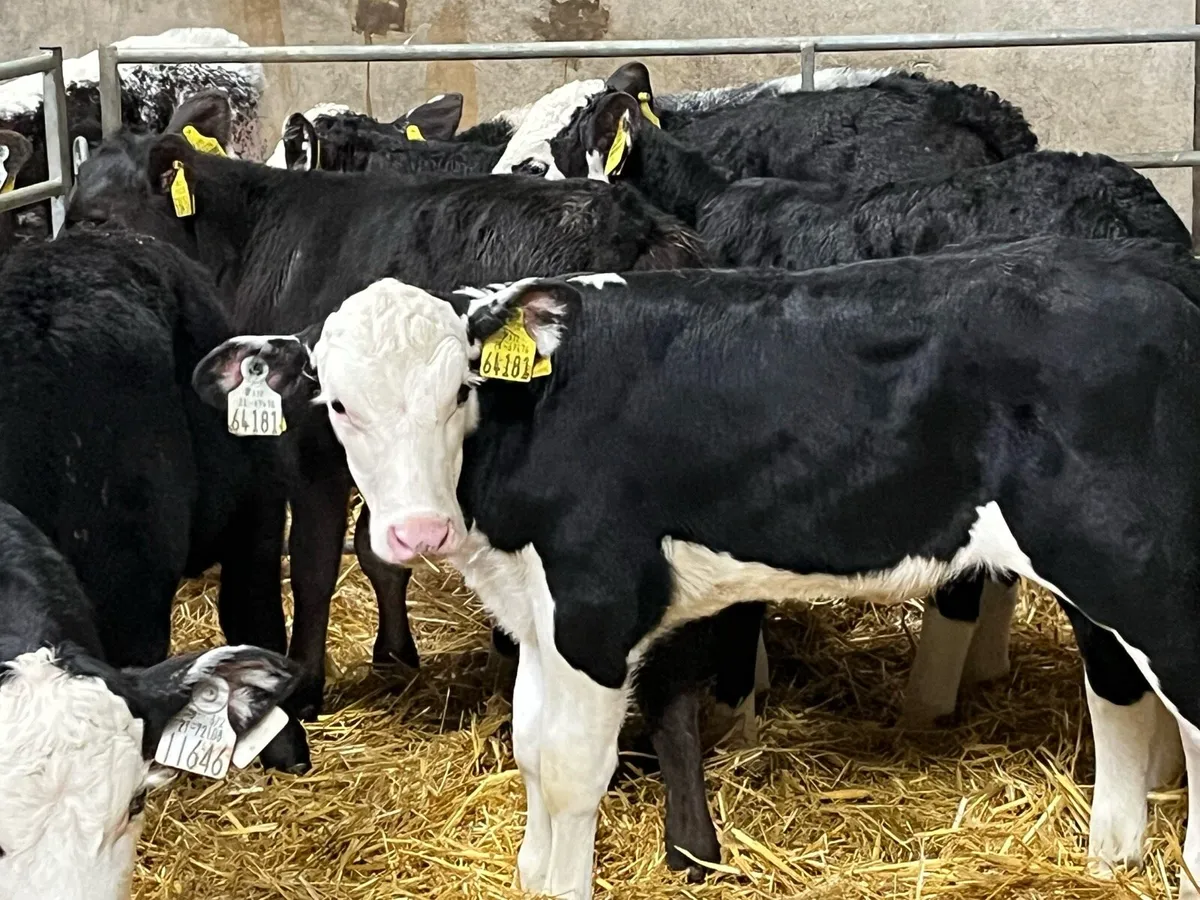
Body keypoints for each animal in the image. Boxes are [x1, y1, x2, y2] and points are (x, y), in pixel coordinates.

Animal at [202, 235, 1200, 899]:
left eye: (460, 390)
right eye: (337, 403)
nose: (414, 533)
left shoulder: (598, 602)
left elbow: (570, 766)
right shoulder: (538, 610)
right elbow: (528, 748)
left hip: (1151, 570)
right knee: (1116, 687)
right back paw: (1110, 855)